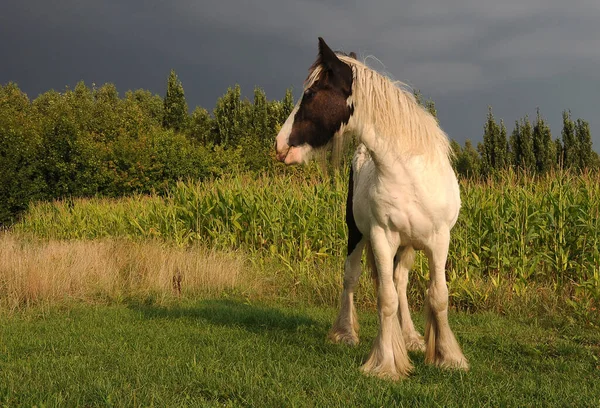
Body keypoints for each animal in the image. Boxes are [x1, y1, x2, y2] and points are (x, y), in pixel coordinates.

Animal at [276, 37, 468, 380]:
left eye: (310, 93)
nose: (280, 144)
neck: (410, 175)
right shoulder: (381, 237)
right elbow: (385, 298)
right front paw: (386, 363)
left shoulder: (439, 240)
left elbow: (437, 296)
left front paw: (448, 356)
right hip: (357, 234)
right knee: (351, 277)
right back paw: (345, 333)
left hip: (409, 246)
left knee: (401, 282)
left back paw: (411, 337)